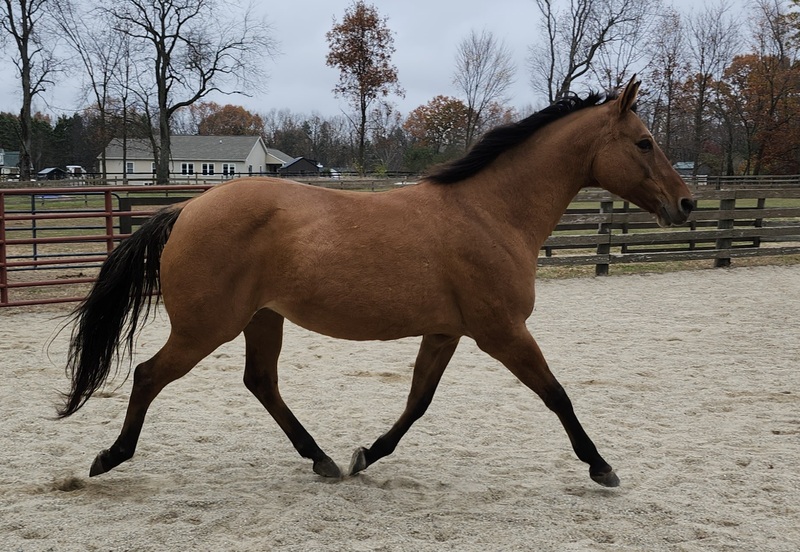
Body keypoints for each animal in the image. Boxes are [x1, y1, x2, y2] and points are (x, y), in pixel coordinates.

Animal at [59, 78, 692, 488]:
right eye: (643, 142)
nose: (685, 203)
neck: (491, 213)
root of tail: (187, 209)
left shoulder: (447, 332)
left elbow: (418, 401)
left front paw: (367, 454)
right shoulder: (503, 332)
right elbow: (557, 393)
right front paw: (601, 466)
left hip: (261, 319)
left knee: (260, 383)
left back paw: (323, 460)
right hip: (205, 327)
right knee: (149, 375)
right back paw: (108, 458)